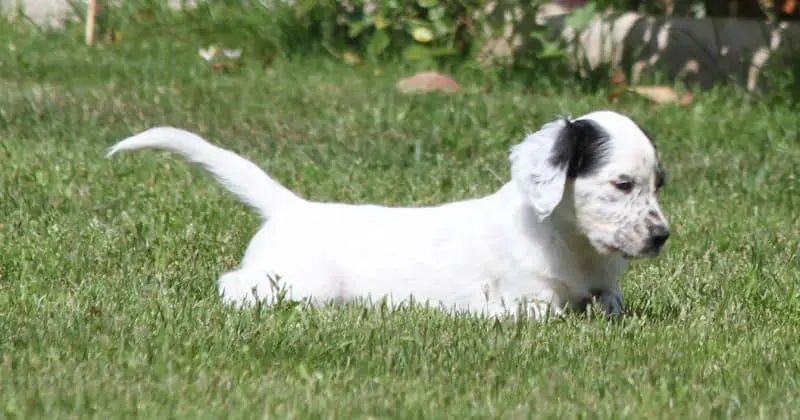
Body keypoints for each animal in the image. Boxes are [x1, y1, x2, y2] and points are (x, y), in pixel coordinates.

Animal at [106, 110, 669, 319]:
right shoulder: (519, 302)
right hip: (297, 284)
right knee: (234, 285)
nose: (662, 236)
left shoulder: (605, 289)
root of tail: (293, 208)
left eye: (658, 185)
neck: (569, 242)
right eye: (622, 184)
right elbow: (554, 313)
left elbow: (610, 303)